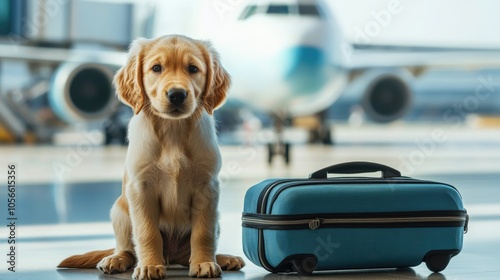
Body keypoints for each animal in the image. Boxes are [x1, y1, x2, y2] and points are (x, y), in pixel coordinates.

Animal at [58, 35, 244, 280]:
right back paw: (116, 259)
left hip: (216, 218)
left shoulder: (207, 187)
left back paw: (223, 258)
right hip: (119, 212)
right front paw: (149, 266)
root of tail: (171, 255)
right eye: (156, 68)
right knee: (127, 249)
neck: (173, 130)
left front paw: (204, 263)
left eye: (193, 69)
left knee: (188, 253)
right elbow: (147, 232)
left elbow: (203, 232)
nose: (177, 95)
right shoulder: (141, 188)